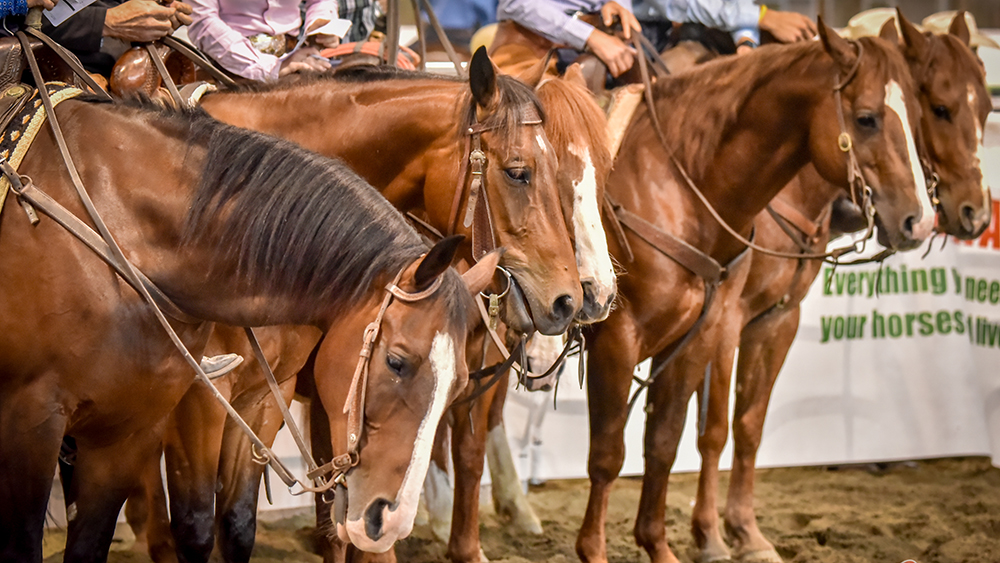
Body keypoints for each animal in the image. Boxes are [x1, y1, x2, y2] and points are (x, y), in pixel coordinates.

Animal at [0, 92, 496, 562]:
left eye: (459, 384)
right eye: (396, 362)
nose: (389, 522)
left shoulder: (175, 417)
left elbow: (235, 523)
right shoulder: (43, 416)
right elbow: (195, 525)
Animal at [576, 20, 937, 563]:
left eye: (918, 116)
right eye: (867, 118)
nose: (920, 220)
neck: (676, 183)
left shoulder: (702, 336)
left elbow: (667, 440)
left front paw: (663, 544)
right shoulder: (620, 338)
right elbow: (609, 454)